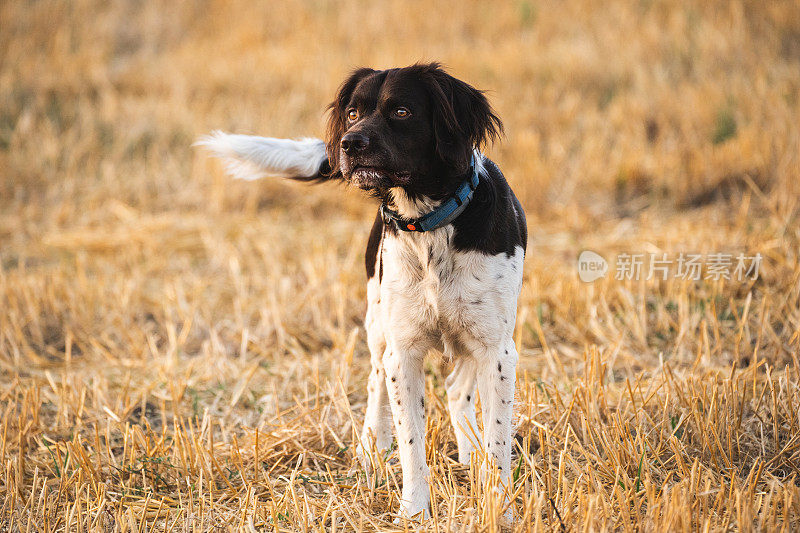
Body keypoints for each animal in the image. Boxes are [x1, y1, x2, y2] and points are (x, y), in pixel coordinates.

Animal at [198, 63, 528, 520]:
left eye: (402, 111)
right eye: (353, 113)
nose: (349, 144)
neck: (432, 223)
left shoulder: (496, 350)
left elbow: (498, 444)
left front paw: (498, 508)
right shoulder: (403, 351)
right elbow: (412, 444)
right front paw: (413, 512)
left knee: (457, 389)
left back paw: (469, 450)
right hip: (378, 323)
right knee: (376, 382)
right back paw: (373, 447)